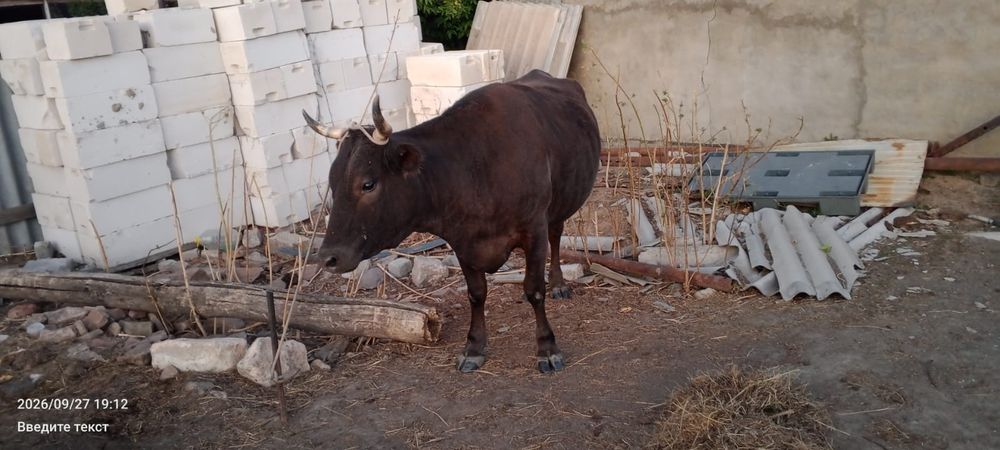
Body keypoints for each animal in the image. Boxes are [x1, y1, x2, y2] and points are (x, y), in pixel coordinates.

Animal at [303, 69, 601, 373]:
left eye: (368, 184)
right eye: (332, 183)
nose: (328, 258)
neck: (473, 167)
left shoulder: (534, 229)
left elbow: (534, 290)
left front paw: (547, 348)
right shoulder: (462, 240)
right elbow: (476, 294)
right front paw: (474, 347)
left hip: (559, 206)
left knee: (556, 236)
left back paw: (559, 284)